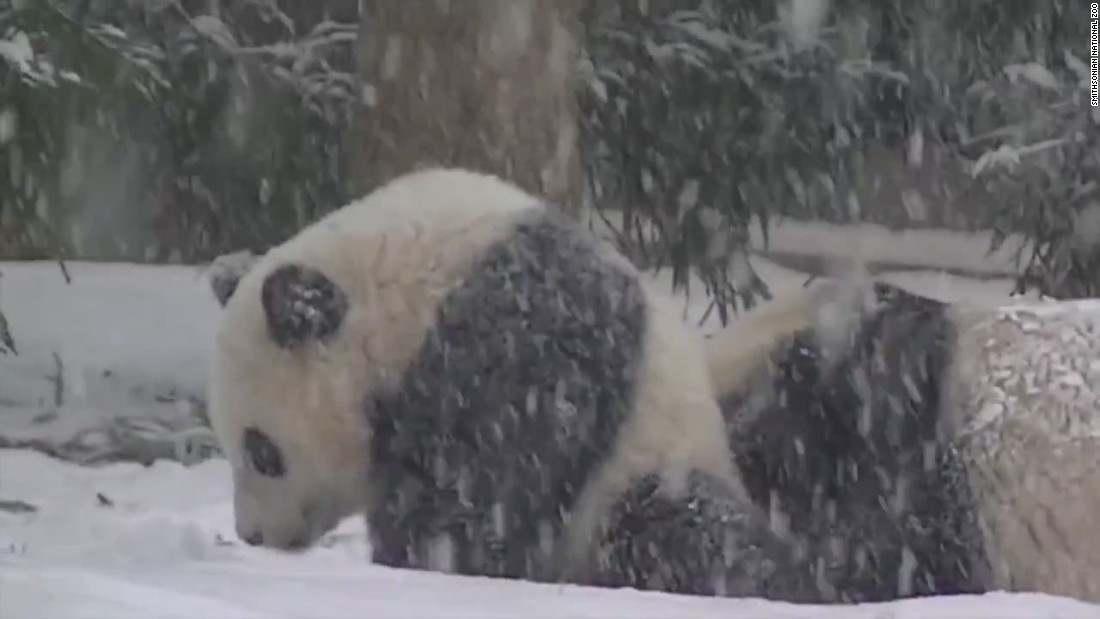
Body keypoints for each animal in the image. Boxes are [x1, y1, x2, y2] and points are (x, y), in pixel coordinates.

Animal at [204, 168, 818, 602]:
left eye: (262, 451)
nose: (253, 534)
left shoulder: (518, 345)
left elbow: (472, 499)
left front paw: (428, 562)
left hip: (646, 466)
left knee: (679, 527)